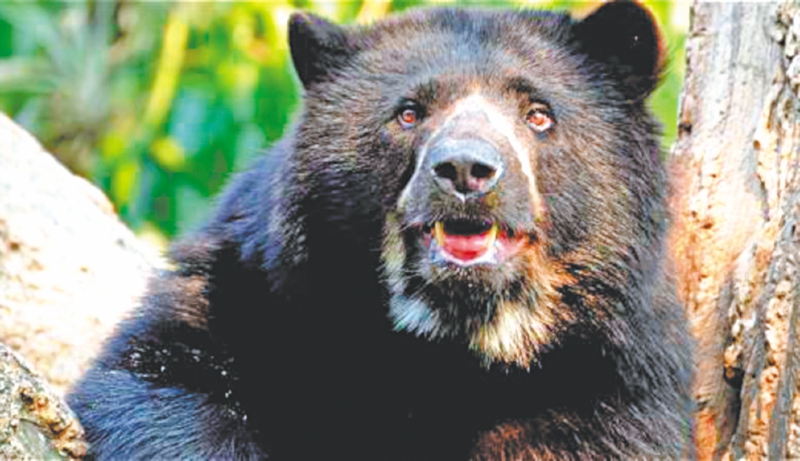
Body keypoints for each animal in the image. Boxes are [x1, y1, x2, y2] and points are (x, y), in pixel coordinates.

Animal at [68, 1, 693, 459]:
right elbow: (163, 380)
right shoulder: (252, 295)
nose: (465, 170)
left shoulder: (613, 378)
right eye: (408, 113)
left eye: (538, 114)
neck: (443, 348)